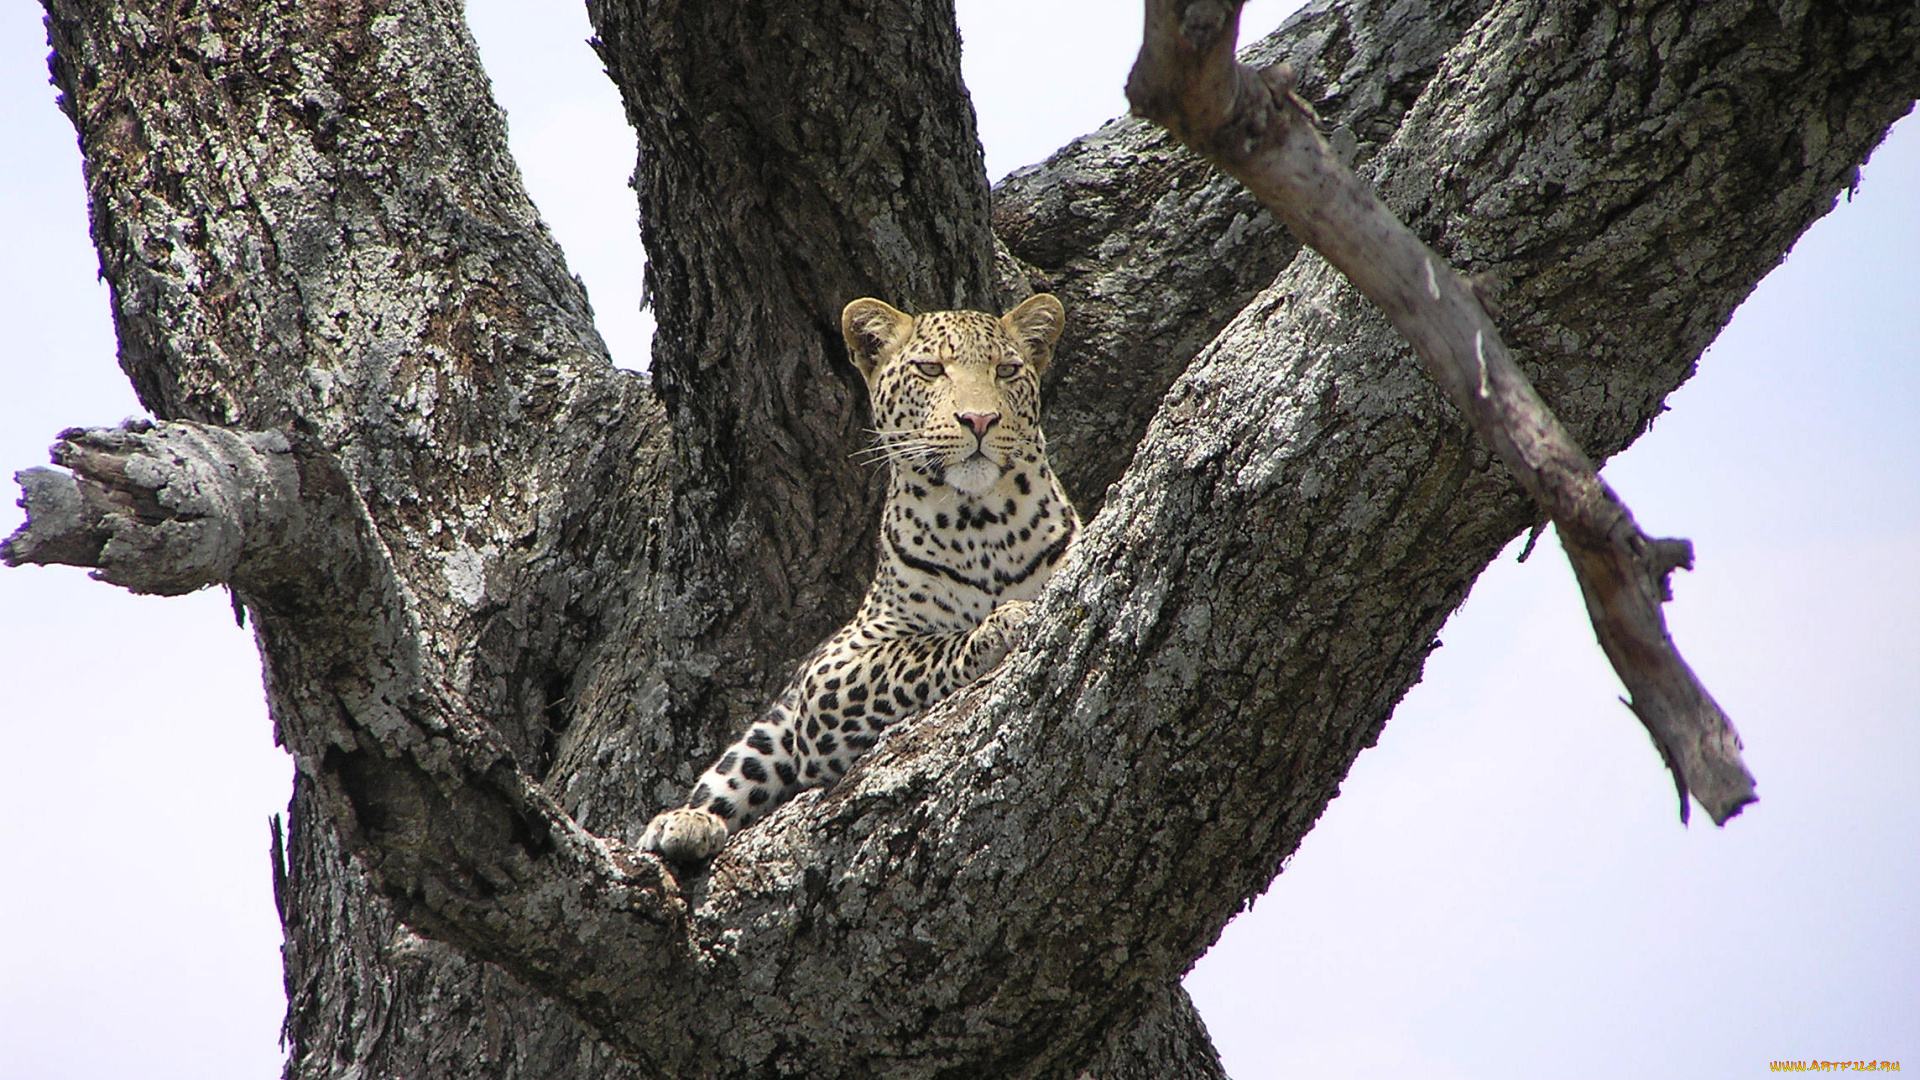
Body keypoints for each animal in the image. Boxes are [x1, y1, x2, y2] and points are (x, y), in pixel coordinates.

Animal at [637, 290, 1075, 860]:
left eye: (1007, 370)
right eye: (930, 369)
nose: (979, 420)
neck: (982, 524)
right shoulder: (836, 666)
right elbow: (917, 651)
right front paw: (997, 625)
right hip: (778, 722)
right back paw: (684, 824)